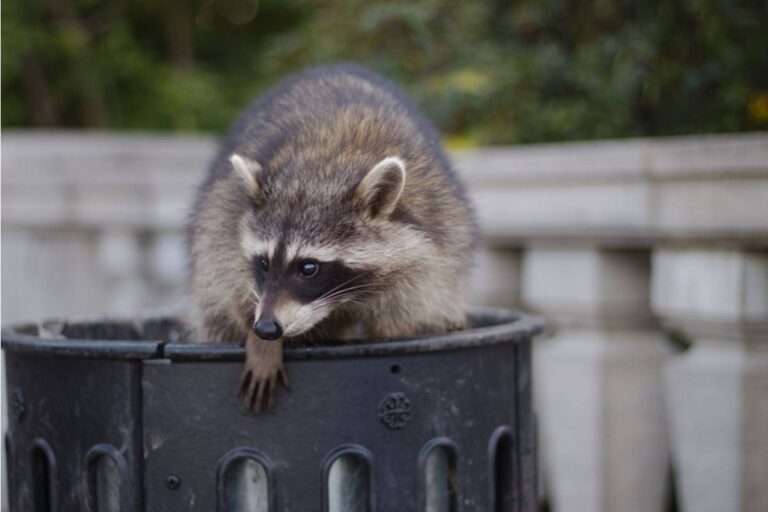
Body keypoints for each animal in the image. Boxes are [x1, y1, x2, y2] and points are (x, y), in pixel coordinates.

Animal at [187, 64, 475, 412]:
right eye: (264, 263)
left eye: (308, 267)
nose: (267, 328)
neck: (323, 165)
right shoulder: (224, 217)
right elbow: (227, 277)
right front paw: (260, 343)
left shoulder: (434, 245)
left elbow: (403, 321)